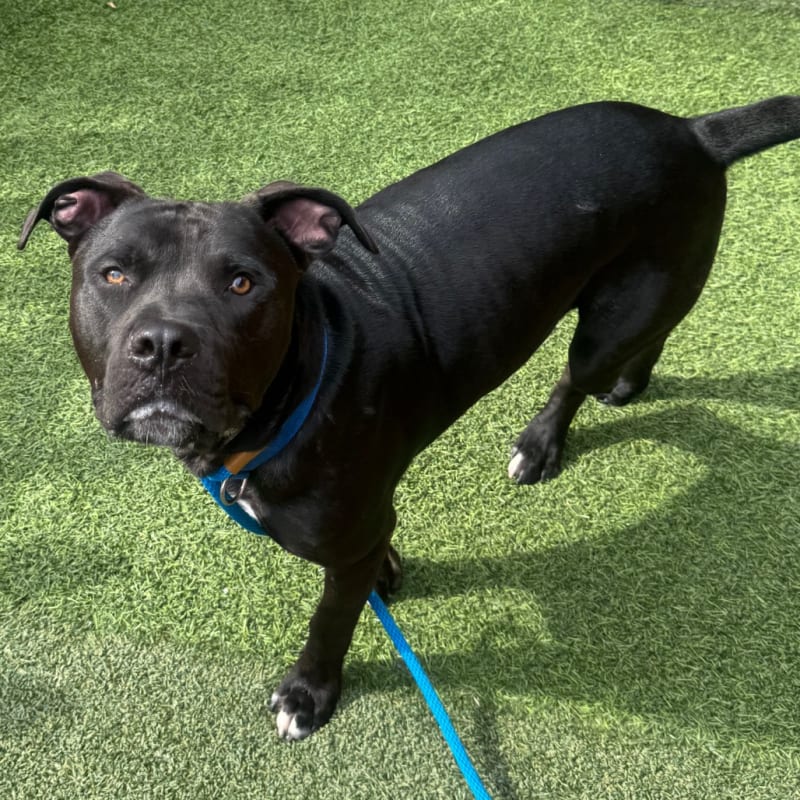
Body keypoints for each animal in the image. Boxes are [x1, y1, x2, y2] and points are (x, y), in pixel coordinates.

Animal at [18, 96, 800, 741]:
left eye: (243, 283)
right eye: (113, 273)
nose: (163, 343)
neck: (298, 386)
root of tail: (691, 130)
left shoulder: (342, 540)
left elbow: (331, 619)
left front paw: (309, 694)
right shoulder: (362, 524)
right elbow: (374, 555)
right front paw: (389, 572)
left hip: (611, 318)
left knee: (577, 375)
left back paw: (542, 442)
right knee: (654, 334)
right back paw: (631, 385)